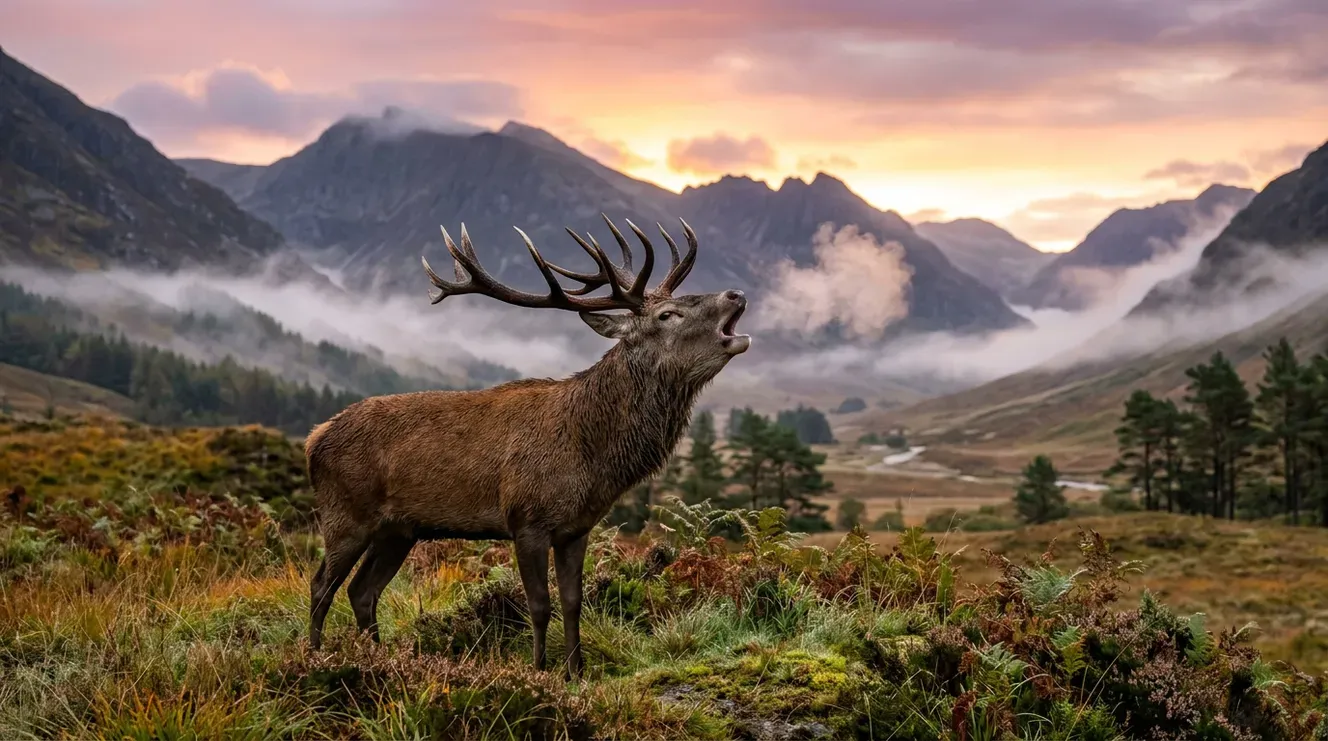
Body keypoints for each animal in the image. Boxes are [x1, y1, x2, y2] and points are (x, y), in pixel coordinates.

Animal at [304, 214, 750, 678]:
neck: (592, 457)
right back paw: (315, 657)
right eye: (667, 314)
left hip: (398, 531)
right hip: (346, 514)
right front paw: (539, 670)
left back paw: (376, 657)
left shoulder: (576, 528)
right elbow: (539, 605)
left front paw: (576, 672)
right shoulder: (527, 519)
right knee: (320, 585)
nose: (736, 293)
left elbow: (573, 603)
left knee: (362, 590)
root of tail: (314, 440)